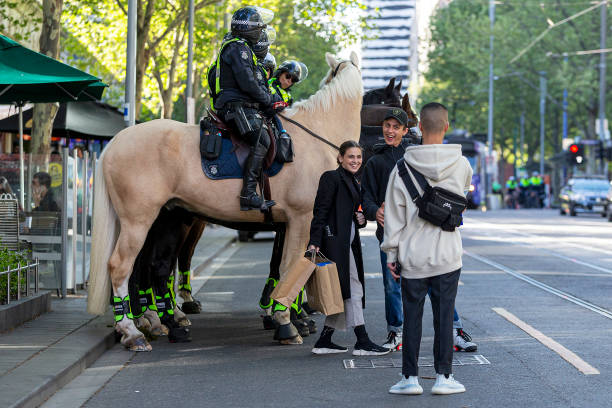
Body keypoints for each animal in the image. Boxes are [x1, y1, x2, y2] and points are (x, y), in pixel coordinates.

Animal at [88, 51, 360, 350]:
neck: (316, 135)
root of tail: (116, 141)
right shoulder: (300, 220)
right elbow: (291, 268)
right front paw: (286, 322)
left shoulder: (292, 224)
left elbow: (286, 268)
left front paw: (285, 316)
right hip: (139, 221)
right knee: (122, 267)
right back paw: (133, 330)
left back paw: (157, 322)